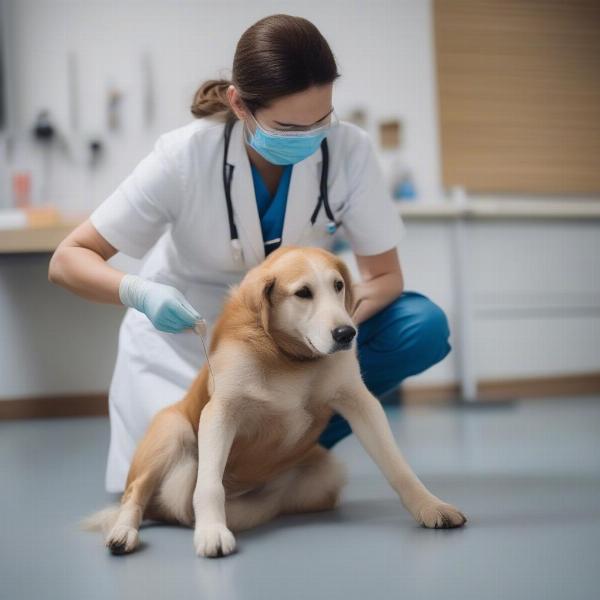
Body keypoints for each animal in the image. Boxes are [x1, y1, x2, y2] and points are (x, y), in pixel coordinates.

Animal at [79, 246, 466, 556]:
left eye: (338, 285)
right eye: (303, 293)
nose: (346, 333)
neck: (288, 356)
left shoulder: (360, 403)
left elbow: (398, 467)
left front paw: (429, 506)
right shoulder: (219, 412)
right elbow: (208, 485)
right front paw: (211, 531)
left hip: (324, 476)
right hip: (172, 431)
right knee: (136, 496)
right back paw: (124, 532)